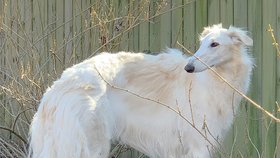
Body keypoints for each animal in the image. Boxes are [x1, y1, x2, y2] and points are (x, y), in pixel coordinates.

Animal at [28, 24, 254, 157]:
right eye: (201, 44)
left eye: (215, 44)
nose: (188, 68)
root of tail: (55, 91)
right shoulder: (199, 144)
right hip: (92, 144)